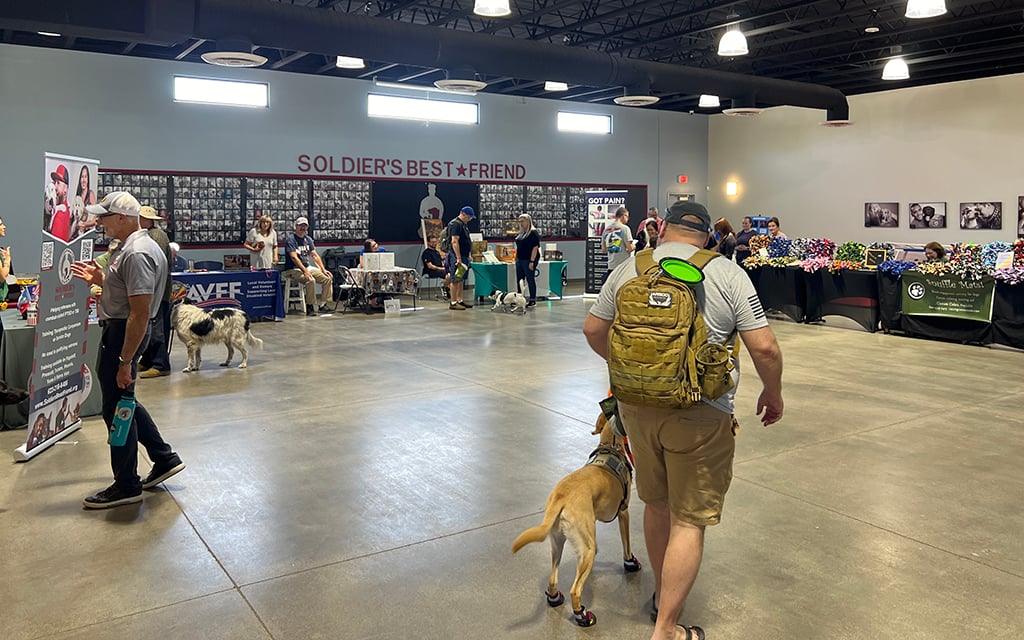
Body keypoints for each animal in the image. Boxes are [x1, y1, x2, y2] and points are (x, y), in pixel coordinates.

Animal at [512, 411, 638, 626]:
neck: (611, 445)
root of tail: (561, 497)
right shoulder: (624, 512)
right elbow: (626, 544)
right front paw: (630, 562)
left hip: (557, 543)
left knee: (553, 580)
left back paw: (555, 598)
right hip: (586, 549)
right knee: (575, 590)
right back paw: (583, 616)